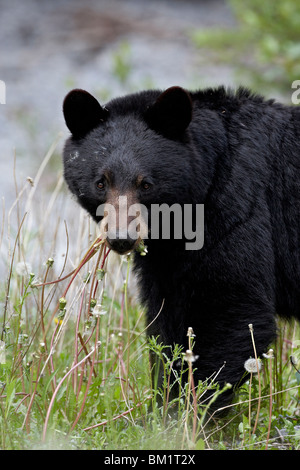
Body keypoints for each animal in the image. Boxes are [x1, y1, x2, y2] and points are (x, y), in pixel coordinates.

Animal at [62, 86, 298, 410]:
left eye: (145, 184)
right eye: (101, 182)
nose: (121, 238)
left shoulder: (236, 209)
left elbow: (233, 310)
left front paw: (185, 410)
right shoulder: (166, 259)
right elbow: (167, 321)